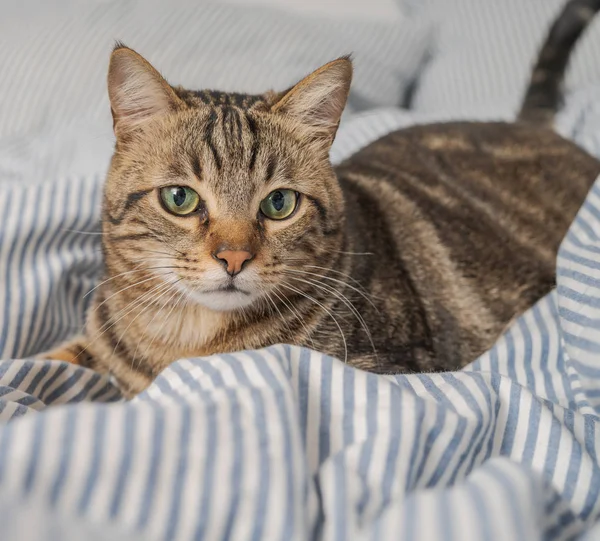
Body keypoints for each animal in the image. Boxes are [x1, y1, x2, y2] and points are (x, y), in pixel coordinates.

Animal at [39, 0, 600, 396]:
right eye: (180, 198)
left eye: (279, 204)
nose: (234, 258)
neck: (182, 339)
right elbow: (50, 361)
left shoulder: (397, 368)